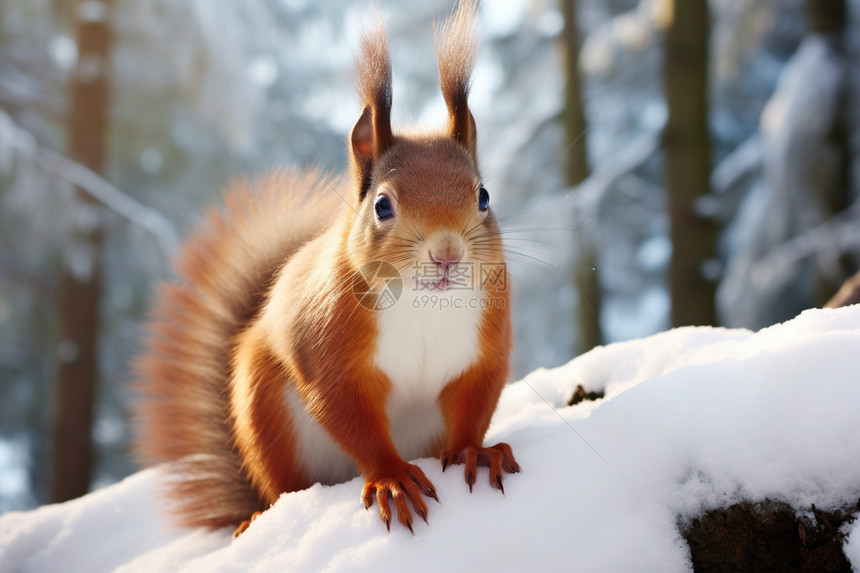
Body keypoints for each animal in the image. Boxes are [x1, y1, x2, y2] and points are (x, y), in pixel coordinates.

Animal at [134, 0, 516, 536]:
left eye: (483, 197)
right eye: (382, 206)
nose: (447, 253)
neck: (425, 306)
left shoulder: (483, 353)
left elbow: (475, 405)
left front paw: (475, 453)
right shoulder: (328, 349)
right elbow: (349, 416)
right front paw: (392, 479)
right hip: (264, 413)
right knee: (281, 489)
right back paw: (257, 518)